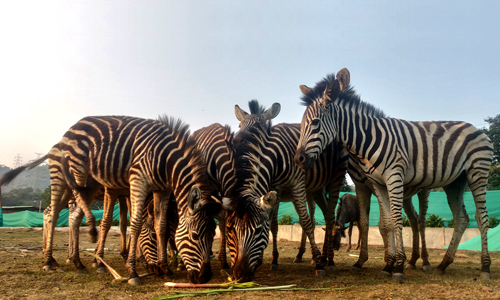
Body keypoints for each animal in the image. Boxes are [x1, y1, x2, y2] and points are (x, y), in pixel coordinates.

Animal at [231, 100, 346, 272]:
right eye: (240, 126)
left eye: (257, 127)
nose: (235, 141)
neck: (276, 158)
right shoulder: (275, 189)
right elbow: (273, 224)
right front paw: (268, 260)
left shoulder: (296, 184)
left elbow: (304, 221)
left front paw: (318, 265)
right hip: (315, 190)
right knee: (324, 215)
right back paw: (317, 256)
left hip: (335, 179)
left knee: (326, 217)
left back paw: (328, 260)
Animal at [294, 68, 494, 282]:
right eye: (302, 124)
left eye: (315, 123)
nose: (298, 159)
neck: (367, 140)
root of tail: (475, 128)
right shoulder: (377, 183)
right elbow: (385, 223)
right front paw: (387, 265)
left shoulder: (394, 177)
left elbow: (396, 219)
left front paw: (398, 267)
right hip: (455, 182)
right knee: (461, 218)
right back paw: (443, 264)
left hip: (475, 174)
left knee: (479, 218)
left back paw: (483, 268)